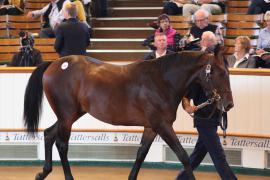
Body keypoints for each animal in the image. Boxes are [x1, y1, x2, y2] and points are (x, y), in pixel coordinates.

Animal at [23, 47, 234, 179]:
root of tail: (54, 64)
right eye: (220, 73)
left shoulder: (151, 127)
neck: (161, 81)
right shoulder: (163, 126)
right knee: (62, 144)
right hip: (67, 116)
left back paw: (43, 172)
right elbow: (183, 156)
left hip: (71, 114)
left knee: (49, 134)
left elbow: (141, 154)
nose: (229, 104)